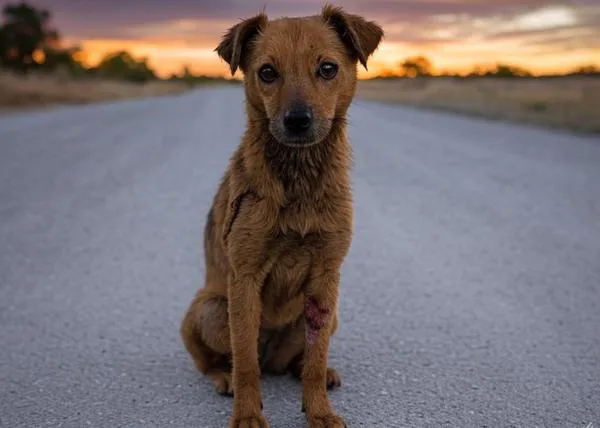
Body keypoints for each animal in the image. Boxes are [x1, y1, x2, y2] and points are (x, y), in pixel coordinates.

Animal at [179, 4, 384, 428]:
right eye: (267, 72)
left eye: (327, 68)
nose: (297, 120)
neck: (298, 179)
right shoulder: (245, 277)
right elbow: (245, 363)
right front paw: (247, 415)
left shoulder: (326, 278)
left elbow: (315, 359)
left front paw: (319, 411)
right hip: (211, 308)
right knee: (219, 362)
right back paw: (223, 377)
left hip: (330, 314)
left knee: (298, 361)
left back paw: (315, 372)